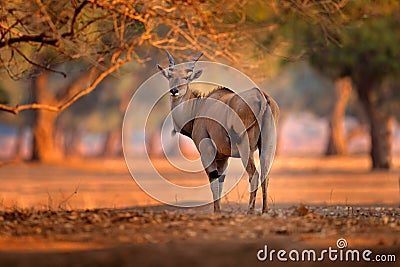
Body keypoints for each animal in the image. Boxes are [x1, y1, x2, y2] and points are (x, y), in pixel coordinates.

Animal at [156, 51, 278, 214]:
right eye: (170, 76)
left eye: (186, 78)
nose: (174, 91)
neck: (199, 108)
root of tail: (262, 98)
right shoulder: (223, 158)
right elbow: (220, 180)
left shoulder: (207, 151)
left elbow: (213, 179)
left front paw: (216, 211)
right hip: (267, 146)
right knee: (265, 175)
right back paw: (264, 210)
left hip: (245, 148)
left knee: (254, 174)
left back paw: (250, 210)